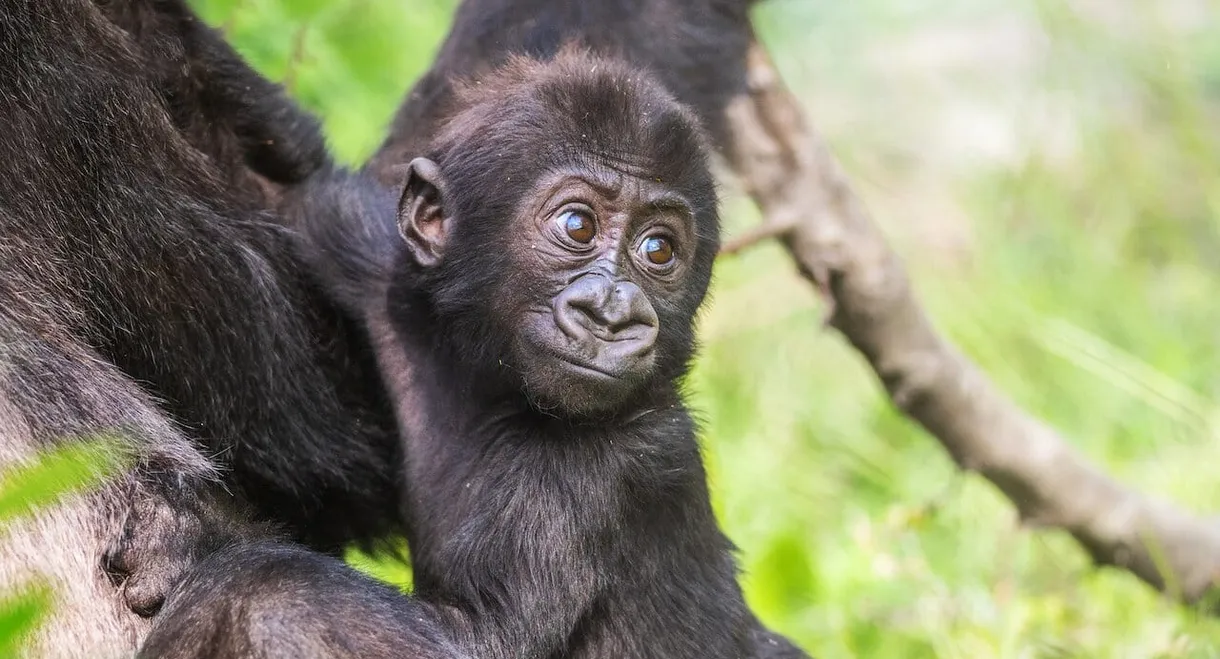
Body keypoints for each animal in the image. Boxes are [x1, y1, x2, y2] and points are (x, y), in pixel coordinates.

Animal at [140, 51, 810, 659]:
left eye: (659, 250)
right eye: (577, 225)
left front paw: (213, 551)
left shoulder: (610, 468)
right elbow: (289, 187)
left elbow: (471, 640)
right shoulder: (374, 258)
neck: (487, 385)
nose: (612, 314)